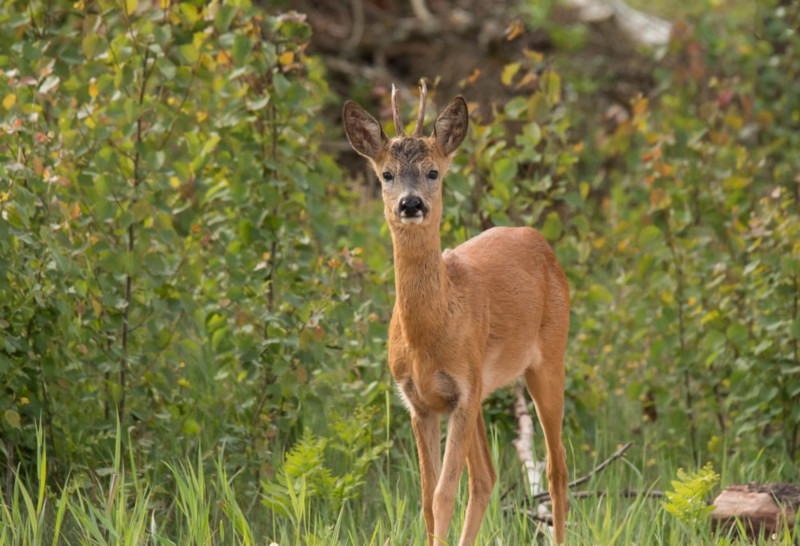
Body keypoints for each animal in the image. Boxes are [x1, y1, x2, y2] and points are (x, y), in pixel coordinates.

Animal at [342, 82, 568, 544]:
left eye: (433, 172)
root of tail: (541, 243)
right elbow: (428, 499)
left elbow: (444, 494)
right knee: (486, 476)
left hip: (549, 358)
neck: (430, 335)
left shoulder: (462, 392)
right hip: (483, 390)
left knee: (557, 469)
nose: (411, 204)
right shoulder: (419, 402)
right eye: (386, 174)